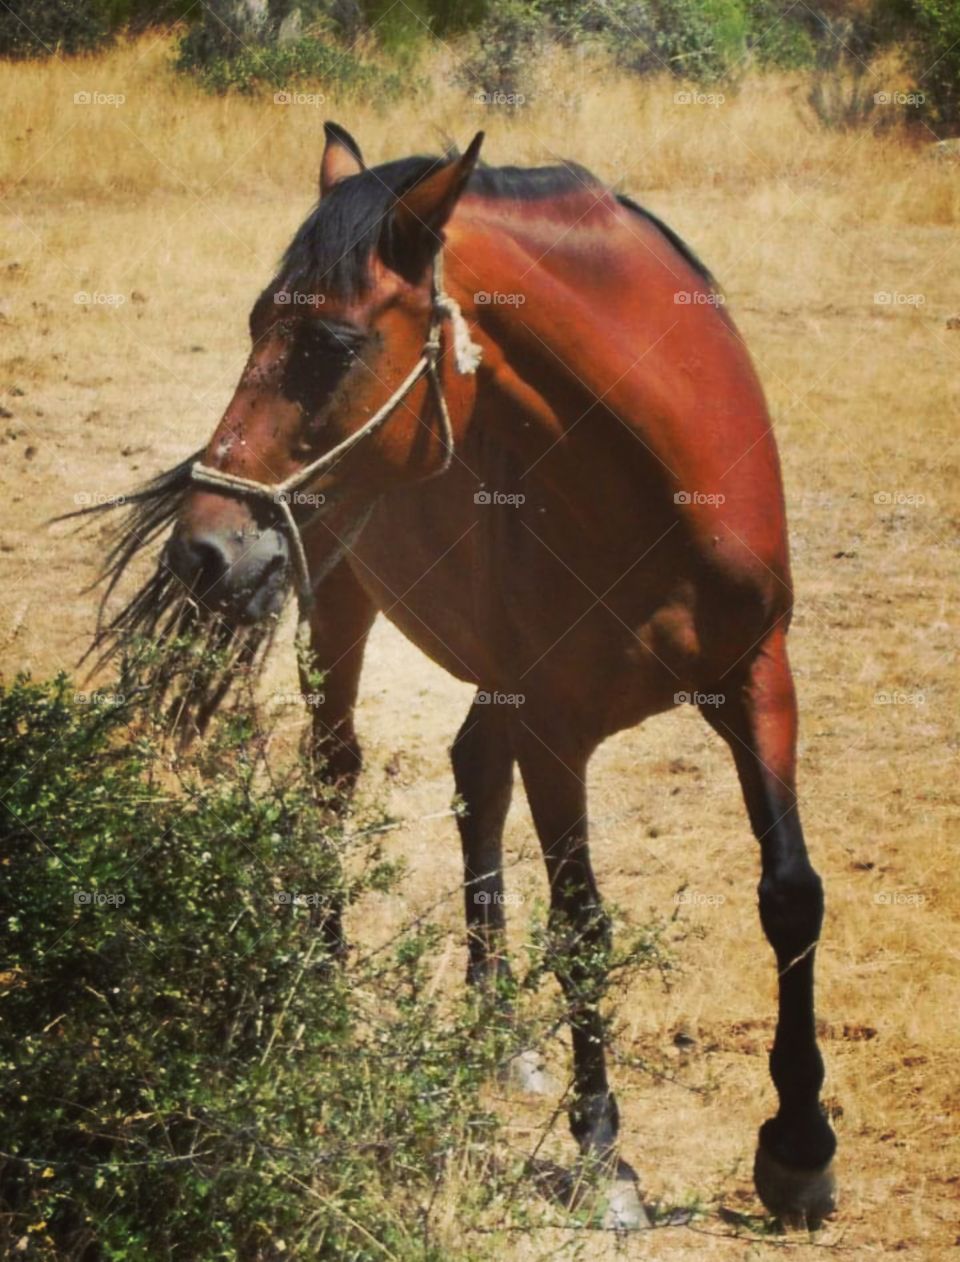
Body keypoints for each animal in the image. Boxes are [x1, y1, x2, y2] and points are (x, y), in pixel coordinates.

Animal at [148, 121, 837, 1228]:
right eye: (254, 323)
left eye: (331, 344)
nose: (201, 549)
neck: (659, 483)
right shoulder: (558, 725)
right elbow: (585, 923)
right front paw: (604, 1151)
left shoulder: (759, 680)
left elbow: (791, 895)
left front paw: (801, 1146)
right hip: (334, 600)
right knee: (335, 771)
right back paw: (334, 986)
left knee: (471, 770)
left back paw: (499, 1027)